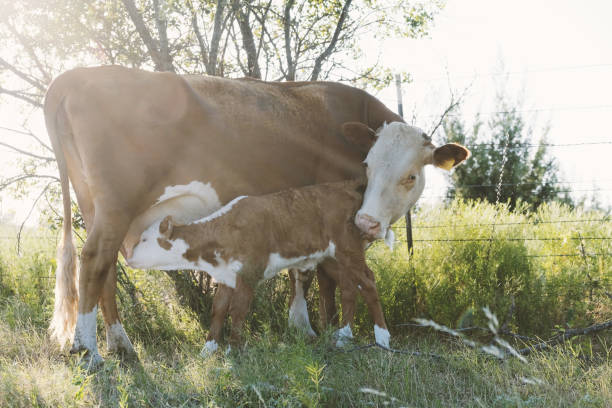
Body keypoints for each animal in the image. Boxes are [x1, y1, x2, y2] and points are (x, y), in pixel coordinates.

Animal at [126, 180, 390, 356]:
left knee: (368, 283)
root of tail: (345, 189)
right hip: (332, 259)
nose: (128, 258)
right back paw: (344, 338)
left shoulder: (249, 273)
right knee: (349, 288)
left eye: (145, 239)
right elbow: (218, 309)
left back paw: (382, 338)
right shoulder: (227, 275)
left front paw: (233, 350)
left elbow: (238, 310)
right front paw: (208, 349)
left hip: (348, 249)